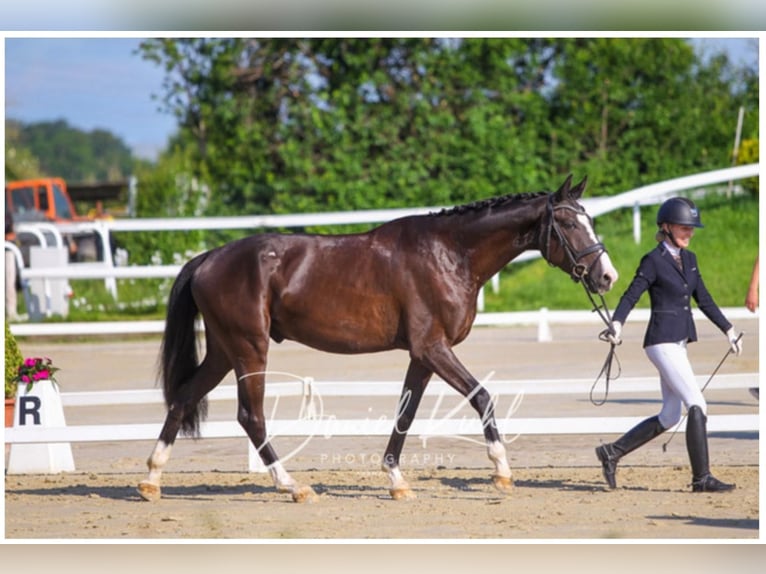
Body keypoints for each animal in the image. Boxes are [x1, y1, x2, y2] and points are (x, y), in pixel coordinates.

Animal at [136, 176, 616, 504]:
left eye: (590, 219)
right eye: (569, 222)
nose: (607, 276)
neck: (450, 253)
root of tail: (207, 259)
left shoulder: (422, 356)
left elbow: (406, 414)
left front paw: (396, 482)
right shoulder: (433, 349)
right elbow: (482, 396)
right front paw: (501, 472)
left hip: (223, 351)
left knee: (183, 398)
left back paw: (151, 480)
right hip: (249, 349)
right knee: (249, 416)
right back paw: (293, 487)